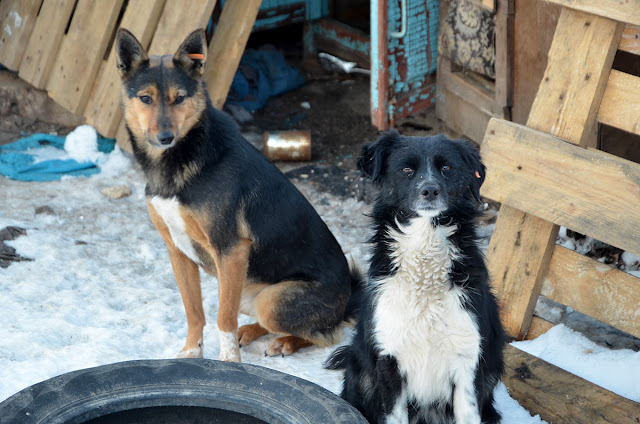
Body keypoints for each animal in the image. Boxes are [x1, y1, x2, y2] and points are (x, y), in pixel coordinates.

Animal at [116, 29, 360, 362]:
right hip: (246, 290)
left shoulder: (230, 250)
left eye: (179, 98)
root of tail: (348, 300)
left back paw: (286, 342)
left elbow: (223, 318)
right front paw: (192, 351)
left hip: (270, 298)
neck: (182, 158)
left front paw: (229, 362)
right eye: (145, 98)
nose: (165, 138)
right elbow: (194, 311)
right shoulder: (177, 251)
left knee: (325, 335)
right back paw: (252, 331)